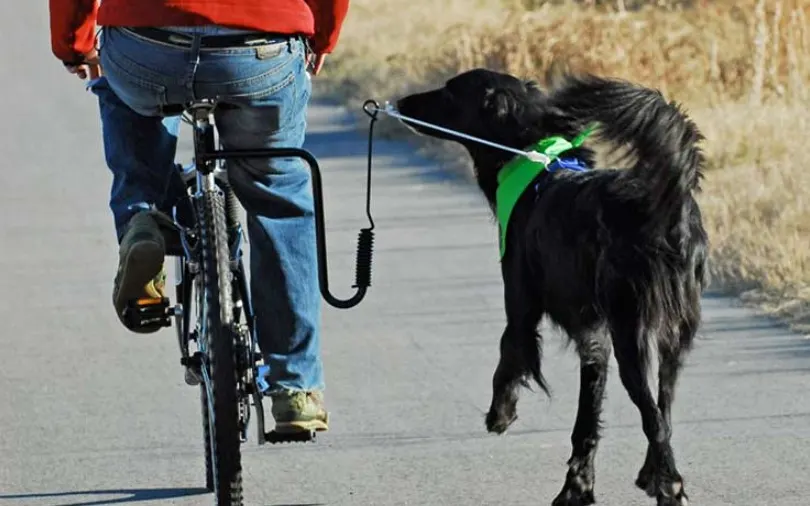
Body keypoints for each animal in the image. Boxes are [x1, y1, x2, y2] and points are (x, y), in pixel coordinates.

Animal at [398, 68, 708, 506]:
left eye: (450, 91)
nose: (401, 102)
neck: (535, 160)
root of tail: (667, 208)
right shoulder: (595, 339)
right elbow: (586, 425)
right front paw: (577, 487)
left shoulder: (522, 306)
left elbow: (509, 353)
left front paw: (501, 413)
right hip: (672, 341)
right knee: (663, 409)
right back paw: (655, 475)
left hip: (631, 335)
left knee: (654, 418)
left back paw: (669, 484)